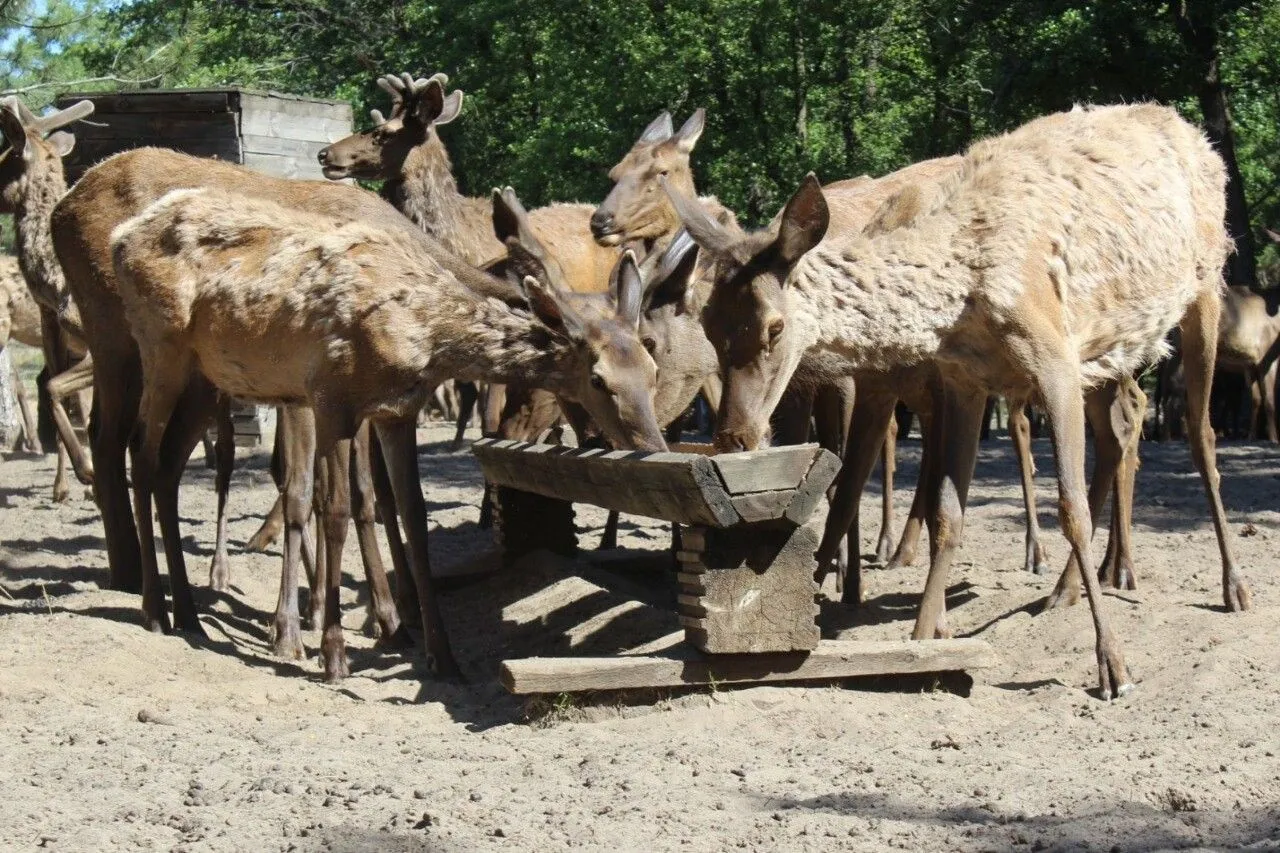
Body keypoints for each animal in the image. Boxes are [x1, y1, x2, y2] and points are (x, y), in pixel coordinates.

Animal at [110, 185, 665, 676]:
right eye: (598, 379)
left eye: (652, 366)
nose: (654, 446)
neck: (422, 337)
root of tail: (121, 237)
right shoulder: (330, 396)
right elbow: (336, 510)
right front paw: (334, 654)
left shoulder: (398, 412)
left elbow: (412, 515)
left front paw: (443, 656)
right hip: (160, 344)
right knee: (141, 453)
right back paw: (156, 609)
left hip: (206, 377)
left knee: (168, 469)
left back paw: (188, 613)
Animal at [670, 101, 1249, 696]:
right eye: (708, 325)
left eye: (775, 327)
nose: (733, 435)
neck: (963, 291)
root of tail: (1191, 131)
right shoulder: (965, 380)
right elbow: (948, 513)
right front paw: (925, 643)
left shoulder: (1057, 360)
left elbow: (1071, 510)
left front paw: (1113, 664)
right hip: (1109, 352)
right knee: (1120, 433)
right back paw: (1063, 590)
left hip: (1204, 289)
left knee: (1200, 434)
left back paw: (1232, 586)